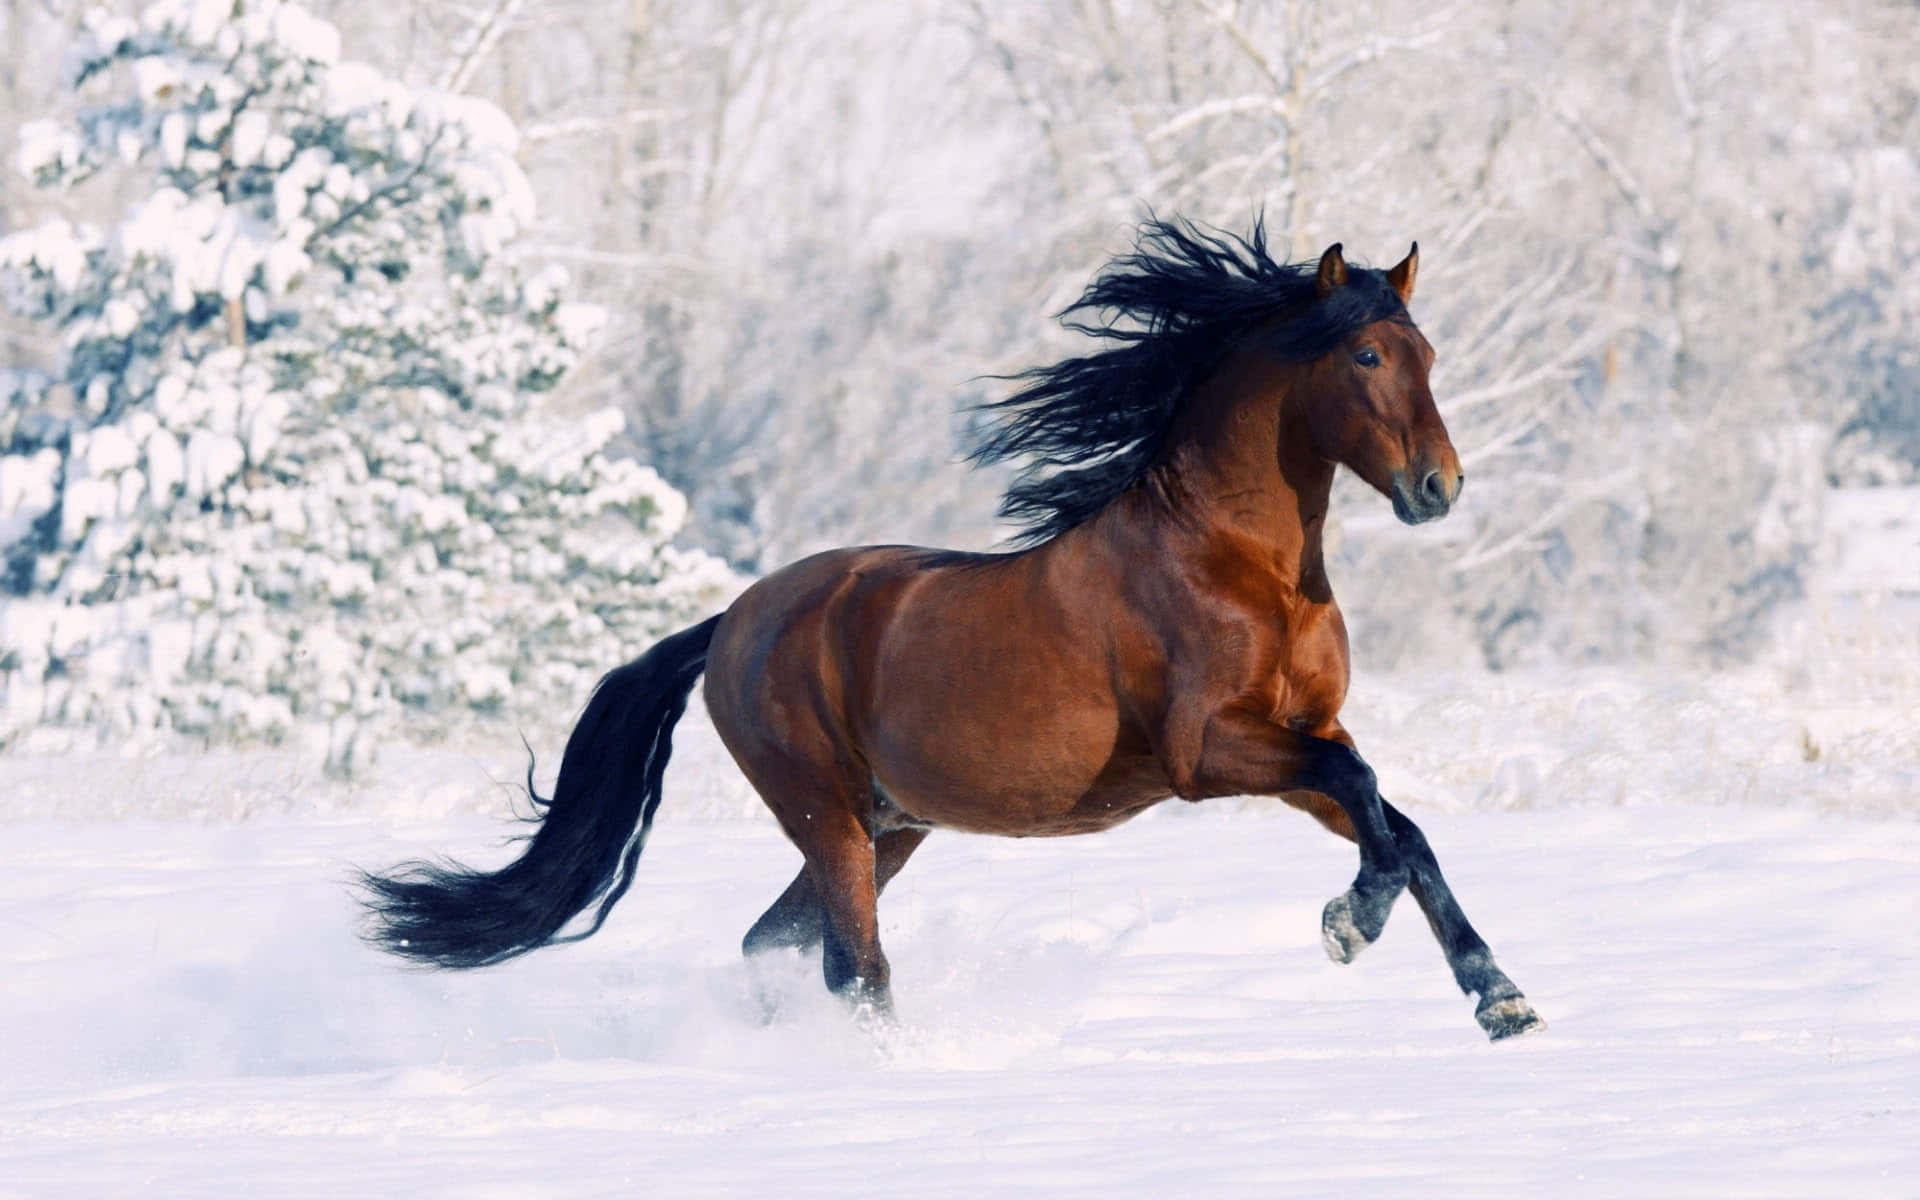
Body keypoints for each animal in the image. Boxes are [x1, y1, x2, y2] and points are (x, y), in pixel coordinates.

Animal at [361, 218, 1544, 1042]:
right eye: (1366, 360)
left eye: (1428, 353)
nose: (1439, 488)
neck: (1236, 563)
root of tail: (735, 619)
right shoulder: (1210, 752)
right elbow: (1373, 802)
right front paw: (1350, 925)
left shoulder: (1305, 739)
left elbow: (1400, 825)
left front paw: (1500, 998)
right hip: (828, 816)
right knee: (854, 966)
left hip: (891, 827)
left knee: (775, 943)